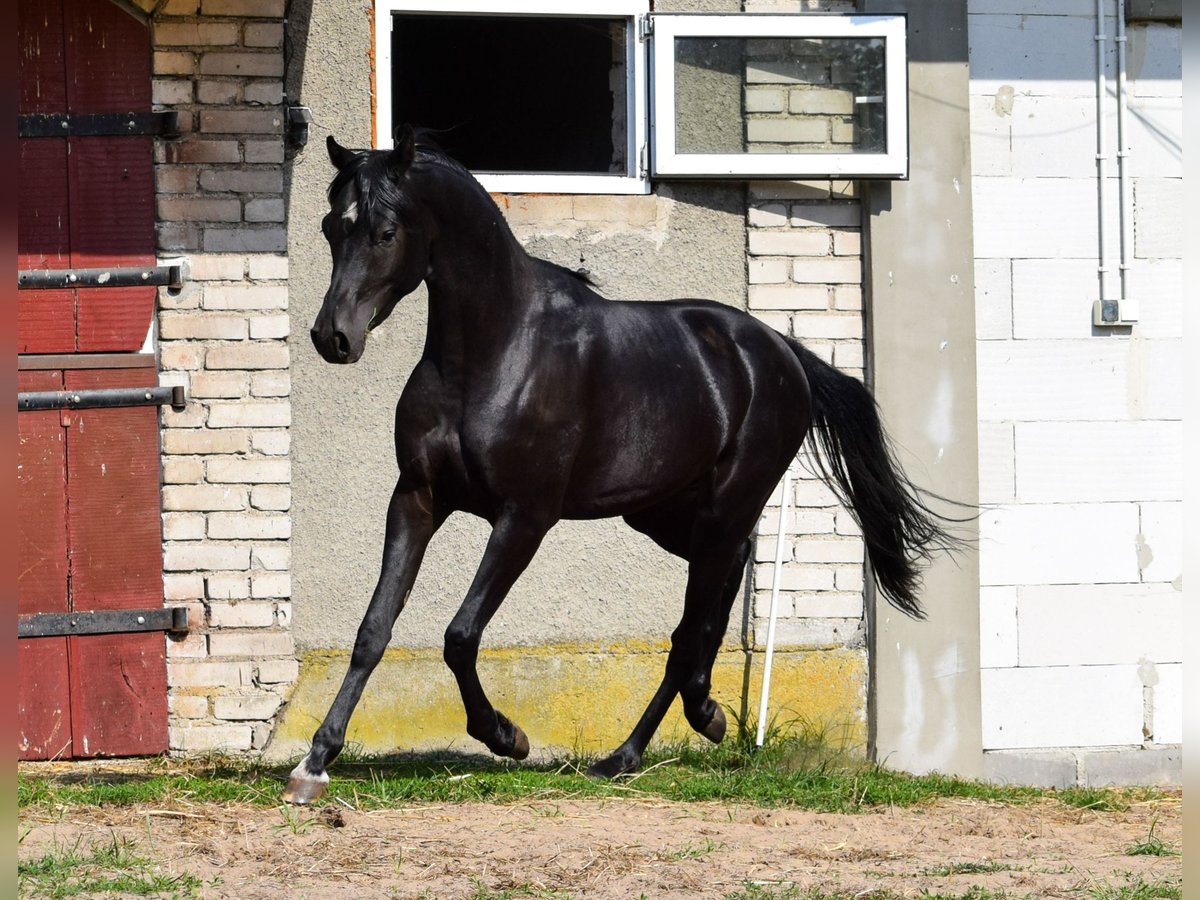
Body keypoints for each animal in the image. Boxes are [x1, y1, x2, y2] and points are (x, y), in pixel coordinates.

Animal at [280, 125, 955, 801]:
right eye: (330, 227)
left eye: (385, 232)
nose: (333, 337)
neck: (493, 354)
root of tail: (782, 352)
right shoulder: (417, 499)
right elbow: (373, 630)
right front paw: (315, 762)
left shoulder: (524, 519)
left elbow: (460, 635)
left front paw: (506, 736)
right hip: (664, 516)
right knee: (723, 581)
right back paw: (701, 714)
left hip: (726, 506)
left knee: (689, 628)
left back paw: (631, 752)